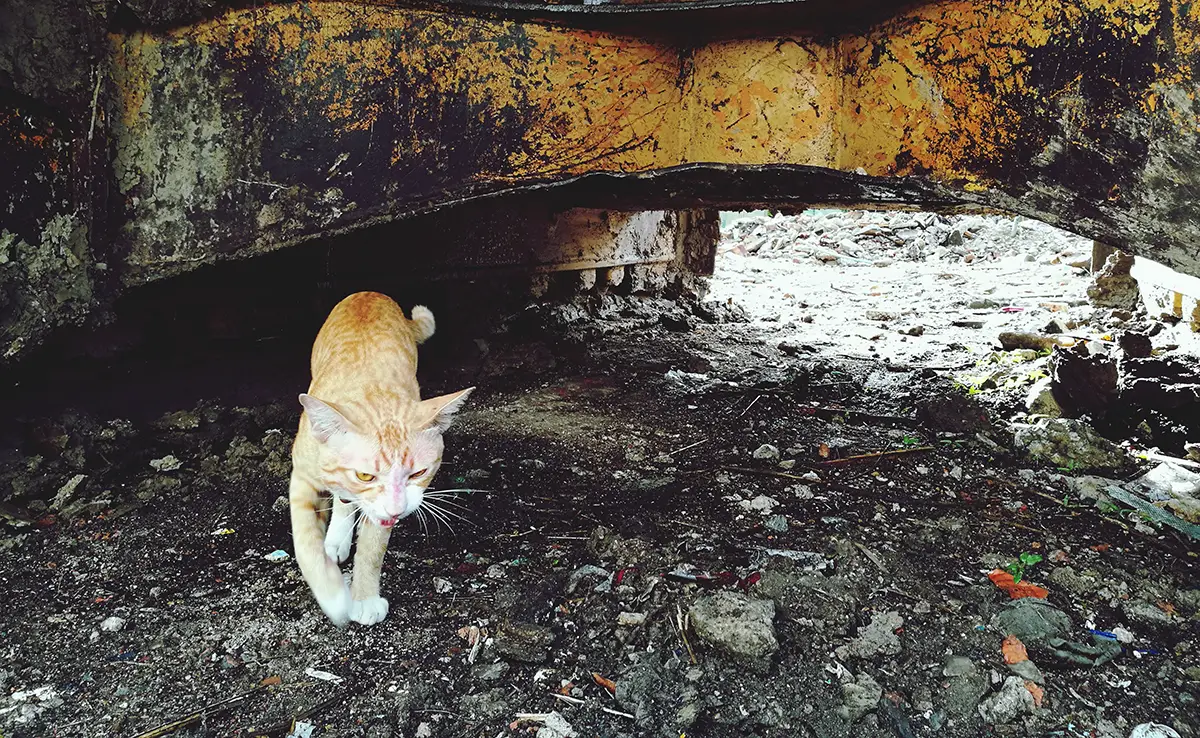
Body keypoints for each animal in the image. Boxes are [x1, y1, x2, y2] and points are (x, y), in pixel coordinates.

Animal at [290, 291, 472, 628]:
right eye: (365, 475)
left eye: (418, 473)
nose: (398, 509)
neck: (368, 386)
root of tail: (369, 293)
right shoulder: (302, 478)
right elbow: (306, 543)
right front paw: (333, 595)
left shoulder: (382, 509)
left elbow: (373, 549)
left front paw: (364, 598)